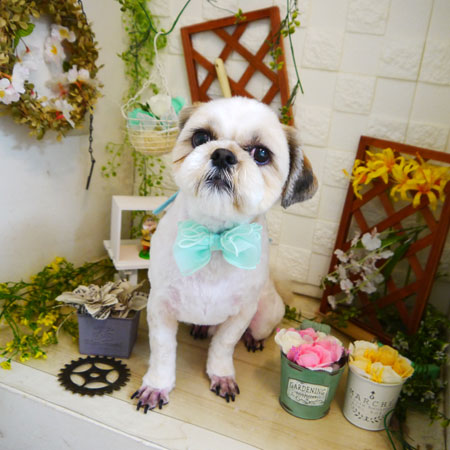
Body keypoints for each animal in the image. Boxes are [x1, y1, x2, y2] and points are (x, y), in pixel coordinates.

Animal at [132, 97, 317, 411]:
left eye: (261, 154)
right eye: (201, 138)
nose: (222, 154)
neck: (215, 240)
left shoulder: (242, 313)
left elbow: (224, 344)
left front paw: (221, 375)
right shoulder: (160, 306)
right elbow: (163, 350)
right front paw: (157, 385)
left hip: (267, 313)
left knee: (258, 329)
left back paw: (253, 340)